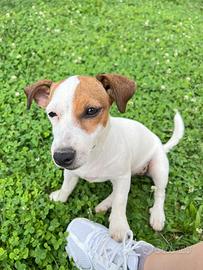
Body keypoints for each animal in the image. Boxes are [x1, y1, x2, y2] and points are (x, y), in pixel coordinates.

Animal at [25, 73, 184, 240]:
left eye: (91, 110)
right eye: (52, 114)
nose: (61, 157)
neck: (94, 154)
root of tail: (161, 146)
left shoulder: (122, 176)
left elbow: (121, 201)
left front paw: (119, 226)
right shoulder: (71, 172)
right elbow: (67, 186)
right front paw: (60, 197)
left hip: (158, 168)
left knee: (159, 192)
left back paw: (157, 216)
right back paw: (105, 205)